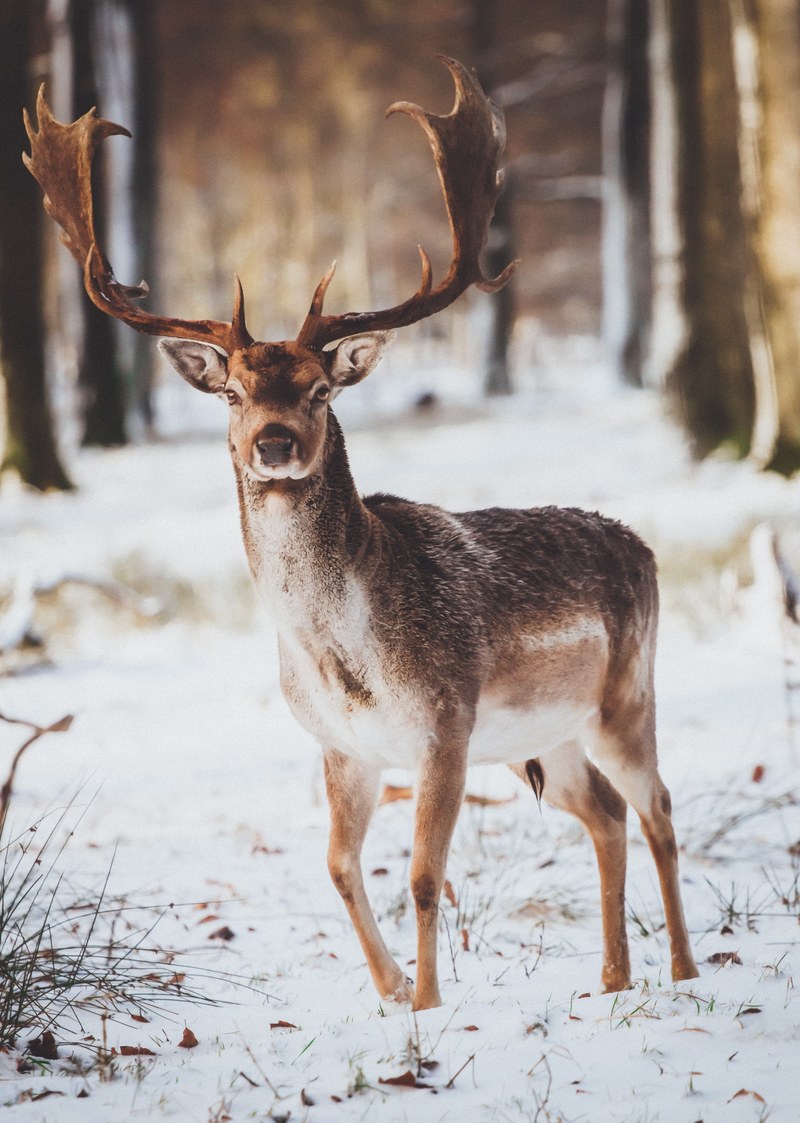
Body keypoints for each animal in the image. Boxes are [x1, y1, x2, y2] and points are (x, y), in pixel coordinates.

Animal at [24, 57, 698, 1011]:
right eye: (233, 392)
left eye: (318, 388)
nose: (272, 443)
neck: (346, 658)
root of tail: (643, 547)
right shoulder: (341, 745)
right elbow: (340, 865)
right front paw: (388, 990)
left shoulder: (445, 723)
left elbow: (421, 875)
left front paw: (426, 1005)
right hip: (543, 736)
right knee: (605, 812)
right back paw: (611, 980)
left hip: (625, 693)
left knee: (661, 806)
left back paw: (681, 969)